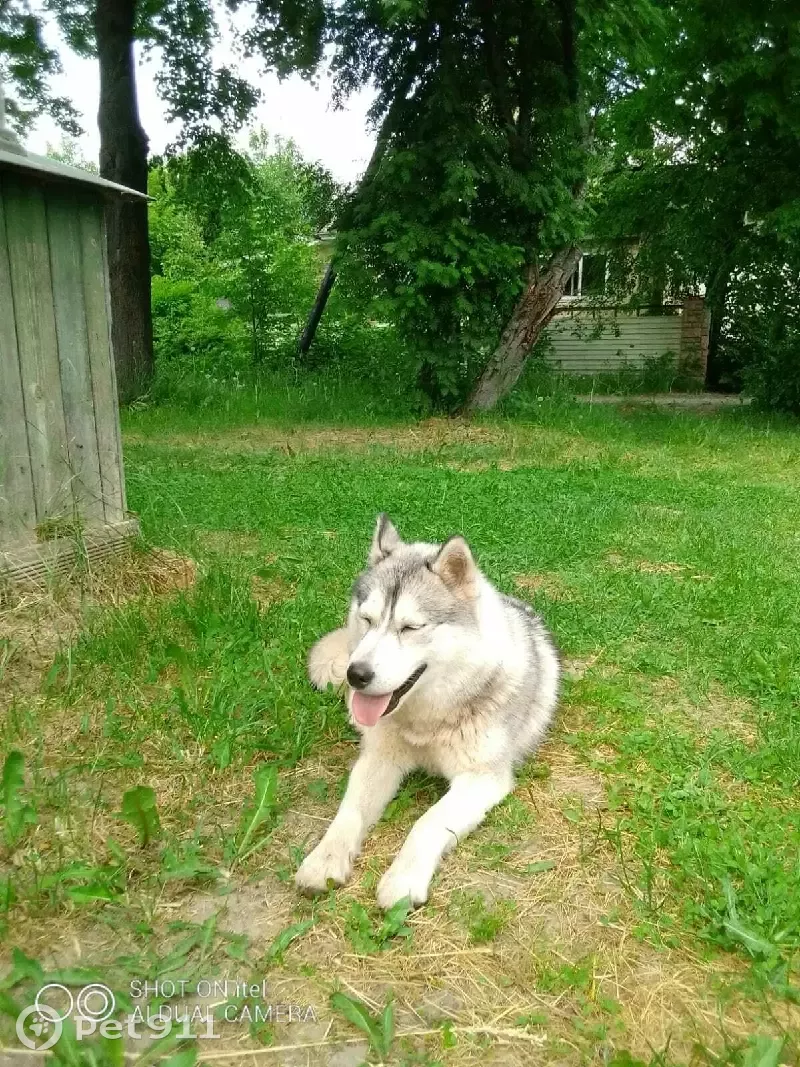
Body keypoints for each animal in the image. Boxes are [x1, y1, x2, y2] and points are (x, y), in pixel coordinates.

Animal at [296, 514, 563, 909]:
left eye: (410, 627)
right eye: (367, 619)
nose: (356, 675)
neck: (426, 721)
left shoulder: (482, 778)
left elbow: (428, 821)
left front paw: (403, 880)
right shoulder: (379, 759)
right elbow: (349, 812)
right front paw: (324, 859)